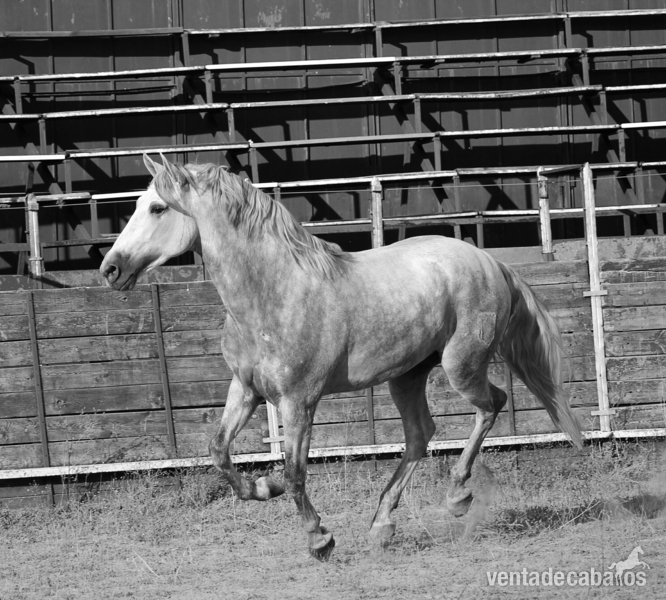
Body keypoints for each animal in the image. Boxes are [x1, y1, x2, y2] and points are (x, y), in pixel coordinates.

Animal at [100, 154, 583, 560]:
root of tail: (490, 261)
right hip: (406, 376)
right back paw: (382, 526)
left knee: (491, 405)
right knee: (420, 435)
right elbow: (219, 450)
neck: (274, 293)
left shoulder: (299, 401)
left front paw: (320, 539)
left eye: (157, 208)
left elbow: (295, 472)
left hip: (460, 366)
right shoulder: (248, 390)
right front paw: (263, 488)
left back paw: (456, 497)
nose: (110, 269)